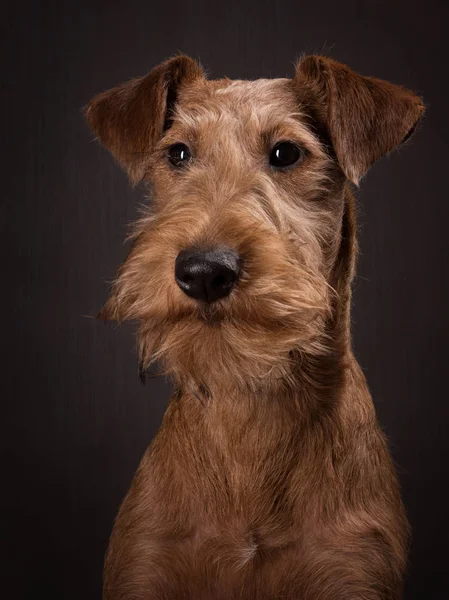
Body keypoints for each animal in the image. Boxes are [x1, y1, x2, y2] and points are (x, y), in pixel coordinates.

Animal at [85, 54, 424, 596]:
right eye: (178, 153)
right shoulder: (144, 566)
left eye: (286, 152)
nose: (203, 271)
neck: (248, 408)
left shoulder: (354, 570)